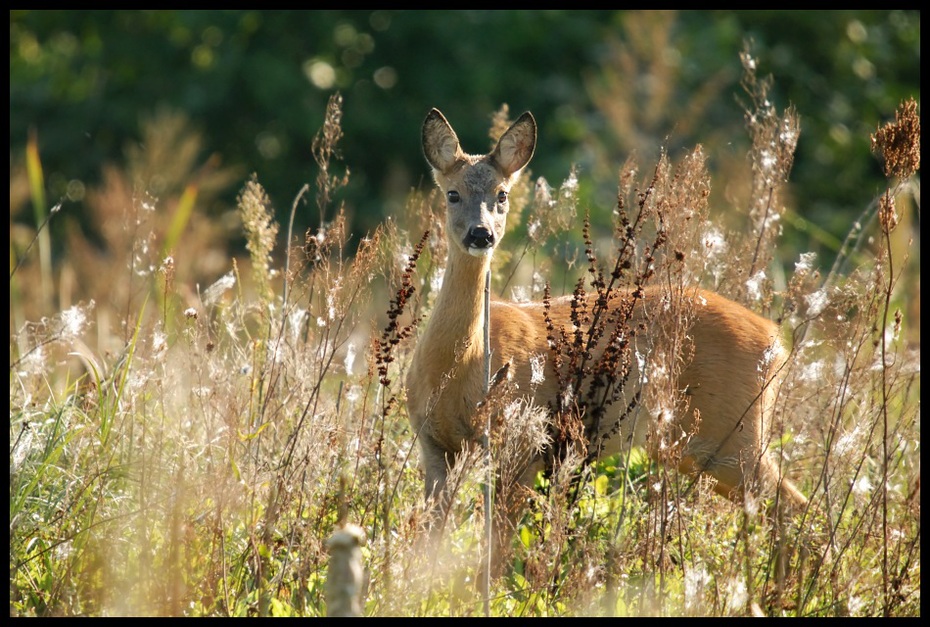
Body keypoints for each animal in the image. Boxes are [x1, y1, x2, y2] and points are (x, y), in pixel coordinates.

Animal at [406, 106, 804, 580]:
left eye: (502, 194)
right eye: (452, 194)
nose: (481, 234)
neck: (459, 367)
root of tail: (777, 342)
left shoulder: (524, 443)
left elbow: (497, 551)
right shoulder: (434, 446)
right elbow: (431, 539)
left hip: (731, 432)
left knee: (791, 504)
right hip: (694, 445)